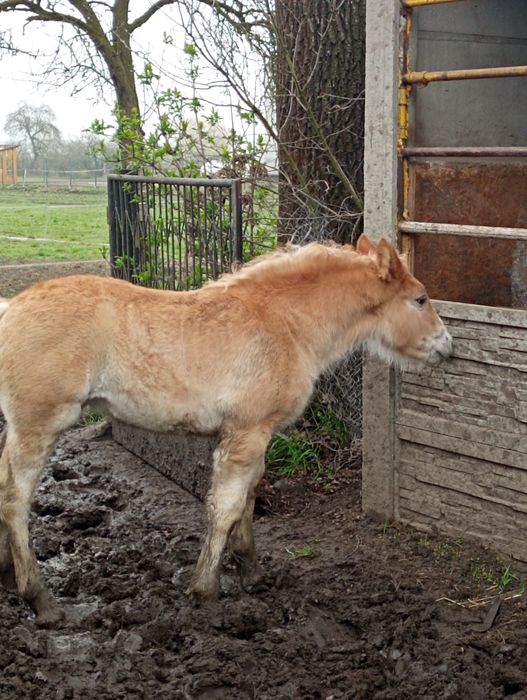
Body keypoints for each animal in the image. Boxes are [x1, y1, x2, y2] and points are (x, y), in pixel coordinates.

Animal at [0, 235, 454, 624]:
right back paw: (40, 601)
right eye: (420, 299)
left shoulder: (256, 434)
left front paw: (253, 575)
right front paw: (205, 589)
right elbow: (226, 507)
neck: (284, 323)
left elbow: (249, 500)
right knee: (15, 502)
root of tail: (9, 308)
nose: (448, 348)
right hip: (38, 425)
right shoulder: (247, 432)